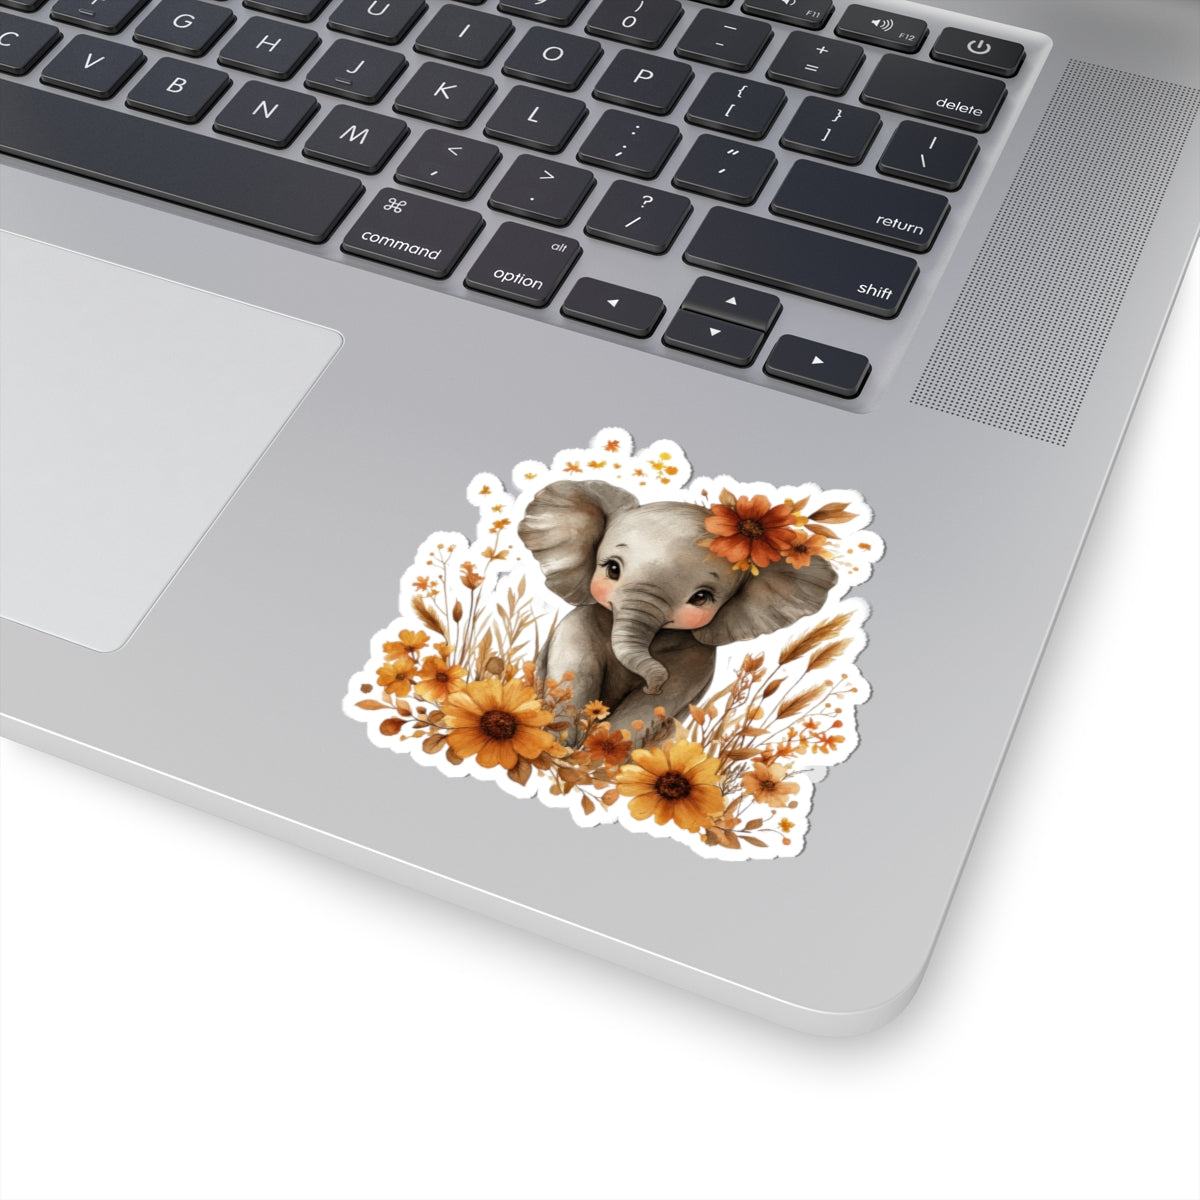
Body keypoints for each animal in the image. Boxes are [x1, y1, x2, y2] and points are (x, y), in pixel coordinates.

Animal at [517, 479, 837, 741]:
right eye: (612, 569)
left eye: (701, 597)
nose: (652, 685)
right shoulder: (579, 627)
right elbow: (574, 680)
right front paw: (562, 750)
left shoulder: (696, 662)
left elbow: (650, 708)